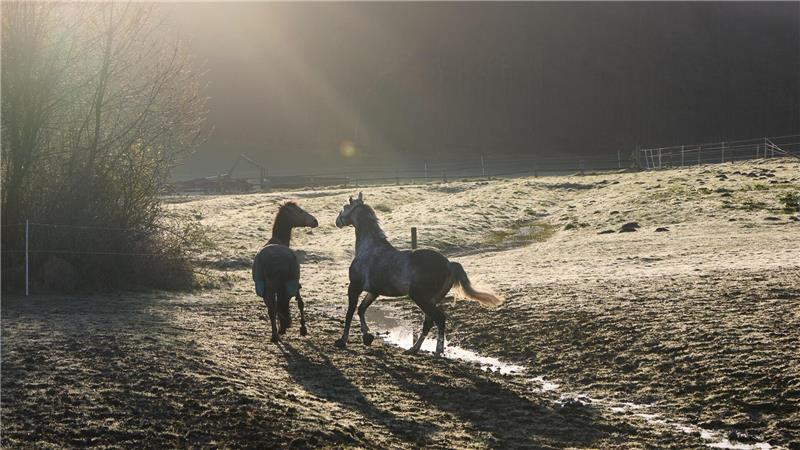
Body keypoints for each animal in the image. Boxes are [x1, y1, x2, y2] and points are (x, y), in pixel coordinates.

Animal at [252, 201, 318, 342]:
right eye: (300, 211)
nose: (315, 221)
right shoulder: (294, 284)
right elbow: (300, 303)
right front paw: (302, 328)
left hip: (268, 289)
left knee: (273, 309)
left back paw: (275, 334)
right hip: (287, 285)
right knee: (285, 304)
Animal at [333, 192, 503, 356]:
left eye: (344, 206)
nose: (337, 221)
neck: (369, 249)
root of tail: (449, 264)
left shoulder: (354, 287)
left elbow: (350, 313)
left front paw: (342, 341)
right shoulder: (374, 291)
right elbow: (361, 309)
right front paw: (367, 337)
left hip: (420, 297)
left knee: (439, 319)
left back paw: (437, 351)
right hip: (431, 299)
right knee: (428, 323)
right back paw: (413, 349)